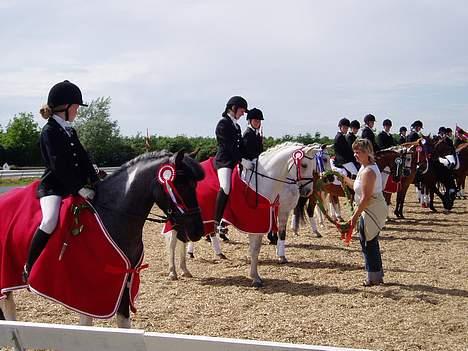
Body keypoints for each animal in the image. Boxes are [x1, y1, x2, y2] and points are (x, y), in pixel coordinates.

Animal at [0, 151, 205, 330]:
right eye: (181, 184)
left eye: (195, 185)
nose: (197, 231)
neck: (112, 214)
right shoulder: (86, 293)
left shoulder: (124, 283)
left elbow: (124, 325)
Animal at [166, 142, 328, 286]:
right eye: (304, 165)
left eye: (314, 166)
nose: (307, 191)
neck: (262, 181)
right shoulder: (259, 219)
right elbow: (256, 248)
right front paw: (257, 276)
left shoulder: (269, 216)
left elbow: (260, 247)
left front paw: (258, 275)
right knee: (173, 242)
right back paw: (173, 272)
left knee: (184, 239)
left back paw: (185, 269)